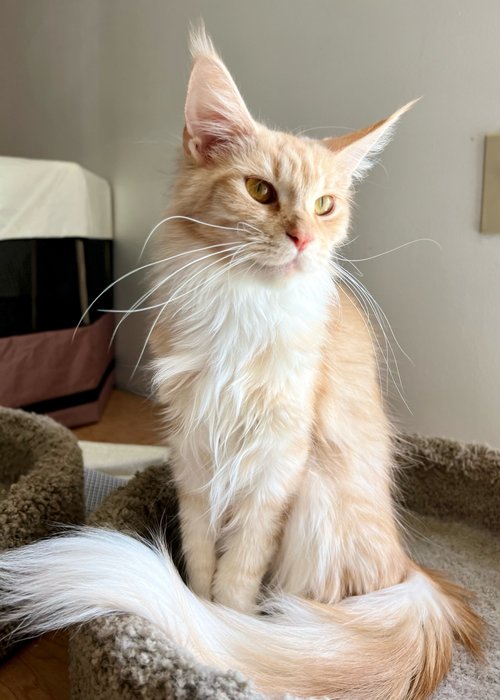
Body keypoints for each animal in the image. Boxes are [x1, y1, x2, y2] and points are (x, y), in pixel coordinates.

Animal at [0, 28, 482, 700]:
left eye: (325, 205)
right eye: (260, 191)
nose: (303, 238)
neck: (242, 306)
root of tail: (409, 568)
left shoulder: (275, 467)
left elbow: (237, 577)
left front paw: (218, 633)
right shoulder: (194, 455)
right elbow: (204, 559)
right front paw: (194, 621)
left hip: (320, 502)